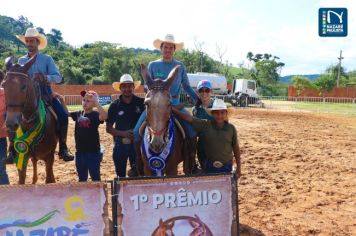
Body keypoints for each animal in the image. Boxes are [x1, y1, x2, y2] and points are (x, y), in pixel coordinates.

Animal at [2, 56, 58, 184]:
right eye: (4, 85)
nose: (11, 123)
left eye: (23, 86)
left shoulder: (49, 156)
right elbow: (21, 180)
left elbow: (49, 179)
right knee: (34, 162)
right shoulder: (21, 156)